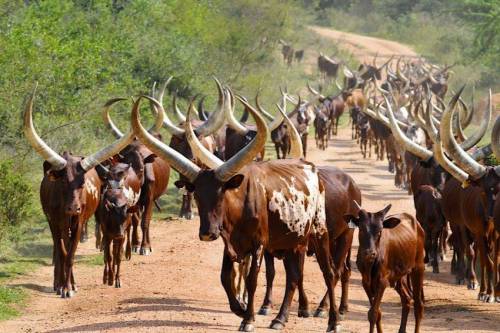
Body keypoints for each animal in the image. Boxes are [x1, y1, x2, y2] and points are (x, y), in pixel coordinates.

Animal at [23, 85, 135, 296]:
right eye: (62, 182)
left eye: (82, 183)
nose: (73, 208)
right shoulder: (55, 222)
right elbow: (62, 252)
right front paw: (61, 286)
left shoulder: (79, 223)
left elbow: (71, 253)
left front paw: (68, 288)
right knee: (60, 250)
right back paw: (58, 282)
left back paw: (71, 283)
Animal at [132, 95, 344, 332]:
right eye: (197, 196)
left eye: (221, 194)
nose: (207, 233)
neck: (240, 208)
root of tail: (310, 167)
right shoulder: (230, 243)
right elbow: (225, 277)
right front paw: (239, 308)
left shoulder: (259, 244)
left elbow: (252, 279)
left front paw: (248, 318)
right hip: (292, 239)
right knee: (293, 276)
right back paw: (280, 318)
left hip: (319, 233)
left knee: (328, 273)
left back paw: (333, 320)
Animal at [346, 202, 424, 332]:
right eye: (361, 229)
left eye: (380, 231)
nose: (370, 253)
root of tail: (417, 224)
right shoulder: (366, 282)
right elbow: (377, 312)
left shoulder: (382, 282)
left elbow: (373, 313)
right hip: (399, 276)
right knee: (407, 300)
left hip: (418, 268)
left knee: (418, 305)